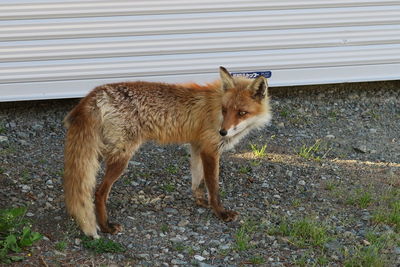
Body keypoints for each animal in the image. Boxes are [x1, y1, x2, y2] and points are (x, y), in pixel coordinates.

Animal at [63, 67, 272, 239]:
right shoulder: (210, 150)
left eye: (242, 112)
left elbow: (197, 180)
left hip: (97, 154)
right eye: (225, 110)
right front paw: (220, 212)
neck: (214, 107)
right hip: (120, 157)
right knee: (98, 192)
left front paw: (200, 201)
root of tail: (96, 93)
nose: (223, 132)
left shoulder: (197, 146)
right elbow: (213, 187)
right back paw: (106, 226)